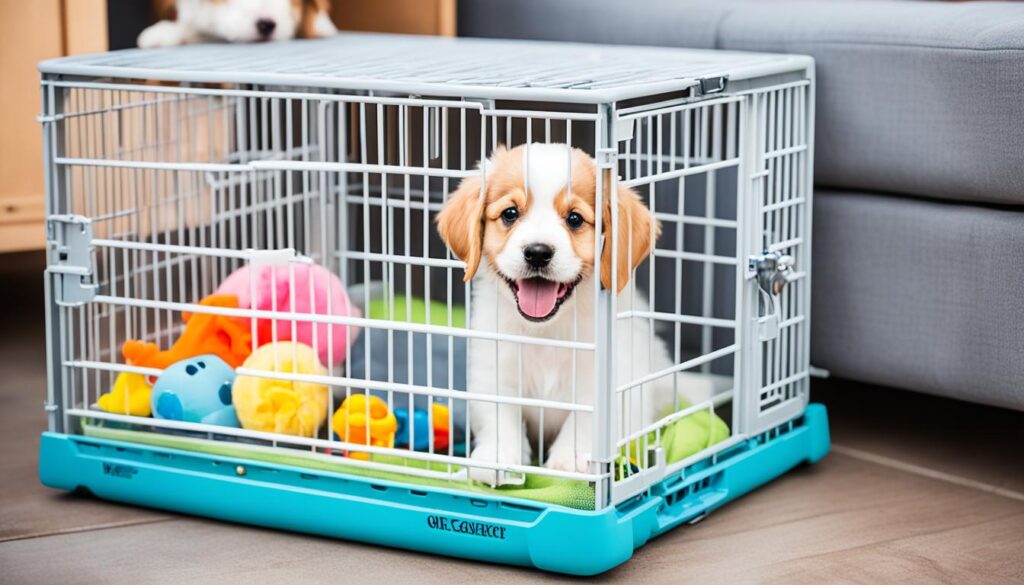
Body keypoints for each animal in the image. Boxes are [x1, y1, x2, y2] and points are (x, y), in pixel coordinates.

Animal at [436, 144, 716, 487]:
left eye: (574, 219)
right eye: (510, 214)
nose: (538, 252)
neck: (547, 333)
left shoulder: (603, 378)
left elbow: (583, 419)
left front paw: (569, 460)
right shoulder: (494, 371)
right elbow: (500, 416)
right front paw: (496, 458)